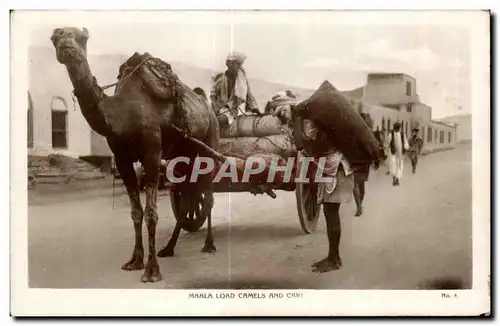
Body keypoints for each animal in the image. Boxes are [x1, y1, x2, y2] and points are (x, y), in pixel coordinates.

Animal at [51, 27, 221, 282]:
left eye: (81, 37)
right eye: (54, 38)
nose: (63, 39)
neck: (123, 113)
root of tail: (208, 108)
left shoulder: (152, 152)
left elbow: (151, 213)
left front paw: (152, 270)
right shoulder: (122, 159)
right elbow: (135, 212)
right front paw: (135, 261)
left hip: (209, 145)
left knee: (207, 196)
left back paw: (209, 245)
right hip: (183, 155)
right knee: (187, 198)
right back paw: (168, 248)